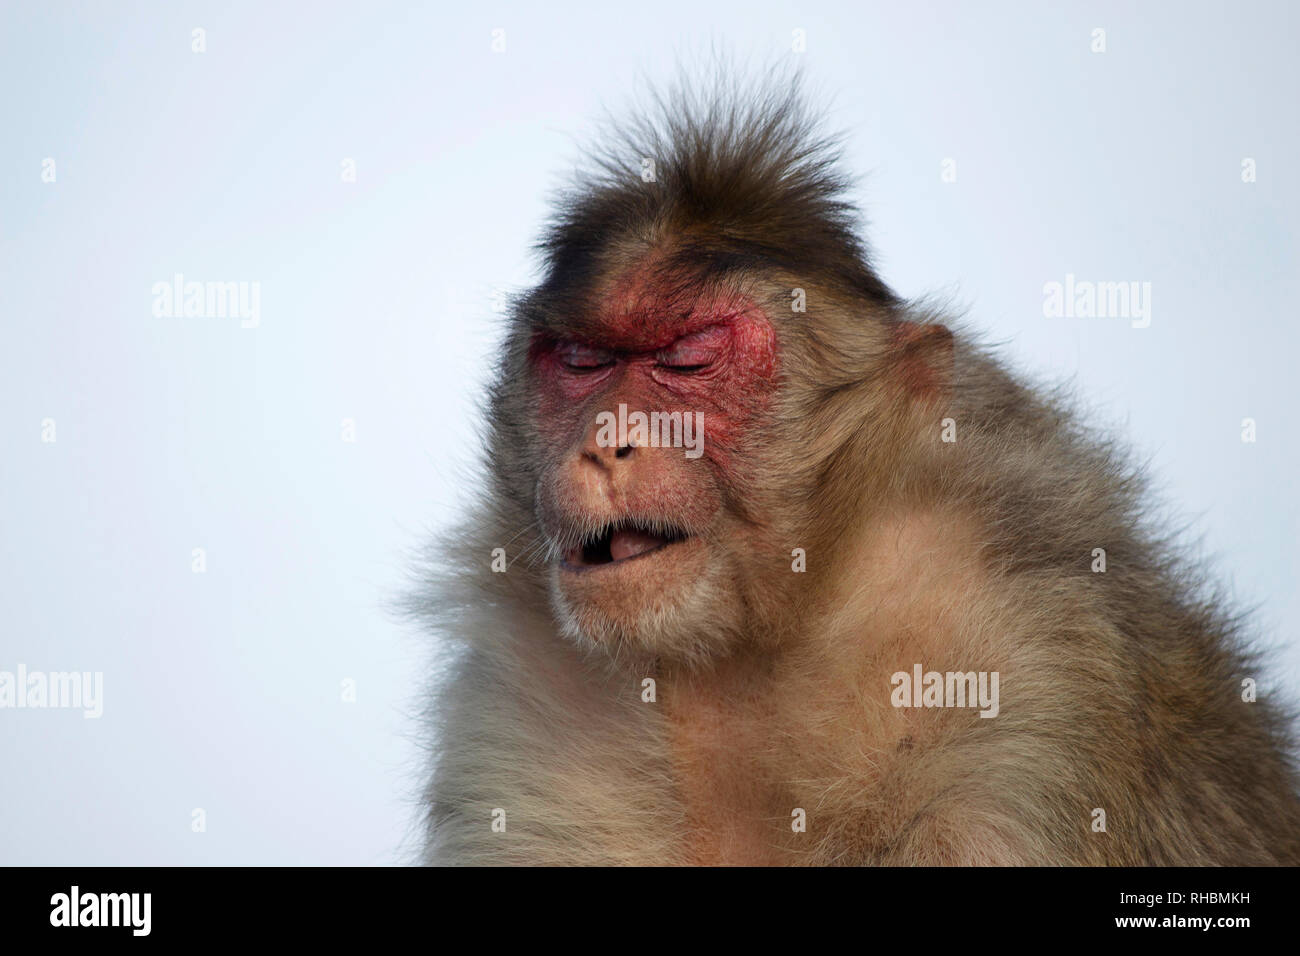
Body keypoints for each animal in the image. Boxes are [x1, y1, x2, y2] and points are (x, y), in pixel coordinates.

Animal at [410, 75, 1300, 866]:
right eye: (582, 363)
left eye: (690, 359)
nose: (607, 440)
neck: (745, 658)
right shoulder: (515, 727)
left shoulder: (1025, 682)